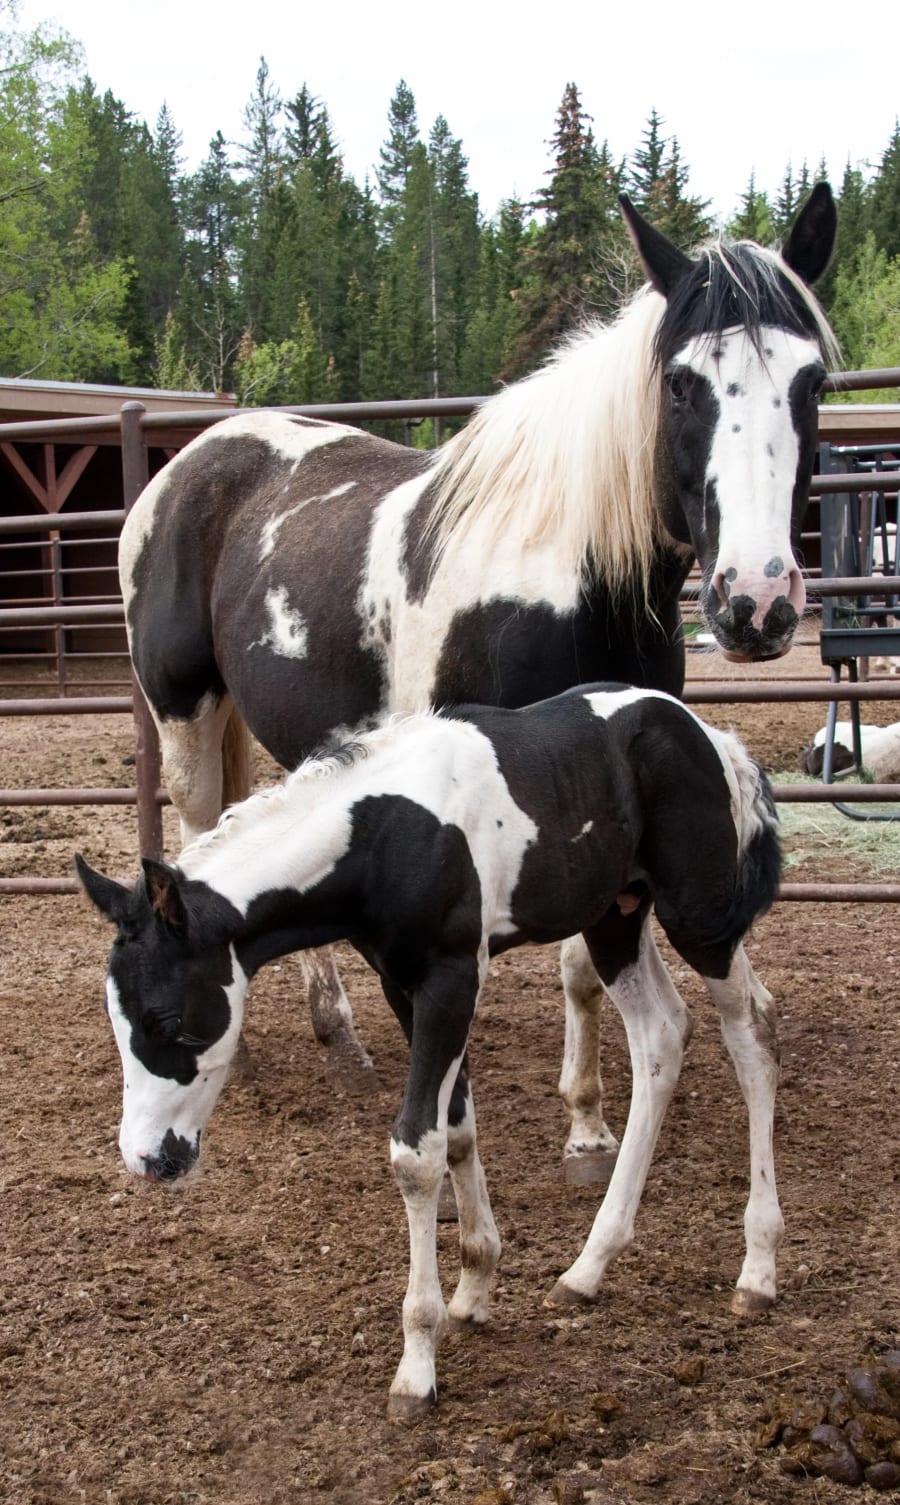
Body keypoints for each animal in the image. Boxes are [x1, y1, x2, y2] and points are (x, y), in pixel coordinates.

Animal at [77, 689, 782, 1414]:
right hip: (615, 917)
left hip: (701, 918)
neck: (384, 834)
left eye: (167, 1019)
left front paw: (417, 1362)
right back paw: (587, 1268)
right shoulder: (402, 984)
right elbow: (458, 1128)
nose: (146, 1158)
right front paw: (475, 1286)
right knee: (661, 1035)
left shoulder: (453, 975)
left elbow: (417, 1152)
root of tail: (712, 737)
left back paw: (757, 1271)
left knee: (752, 1031)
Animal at [118, 188, 836, 1149]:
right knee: (205, 831)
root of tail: (190, 462)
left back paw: (337, 1030)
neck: (573, 572)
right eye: (682, 382)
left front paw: (587, 1118)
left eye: (812, 382)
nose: (757, 602)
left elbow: (583, 963)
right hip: (184, 710)